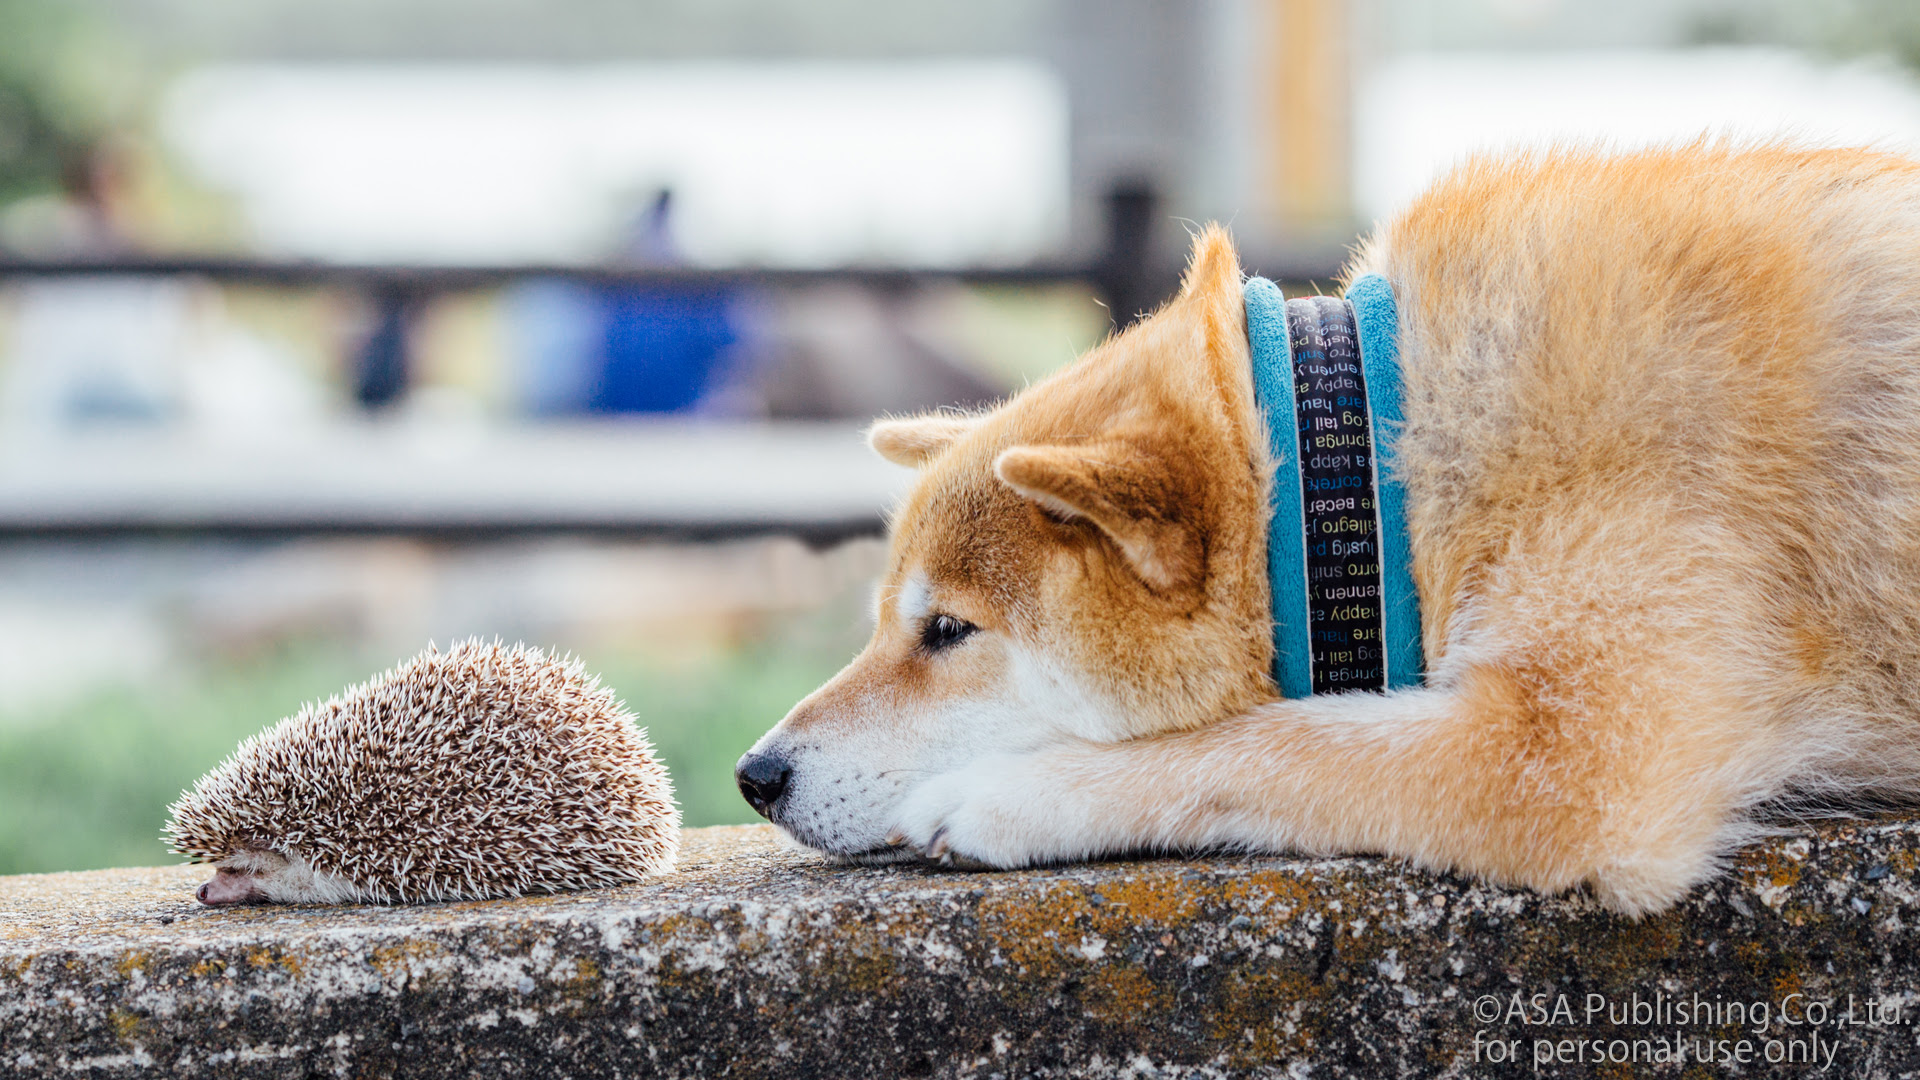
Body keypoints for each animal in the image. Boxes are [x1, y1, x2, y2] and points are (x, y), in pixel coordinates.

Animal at [737, 143, 1920, 910]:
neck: (1392, 458)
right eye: (886, 621)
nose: (756, 775)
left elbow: (1268, 740)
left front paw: (1017, 796)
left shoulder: (1575, 760)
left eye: (948, 632)